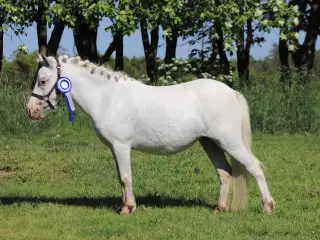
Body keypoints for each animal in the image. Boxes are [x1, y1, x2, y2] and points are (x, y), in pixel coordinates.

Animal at [26, 54, 276, 216]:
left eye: (43, 81)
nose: (30, 110)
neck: (108, 97)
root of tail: (231, 92)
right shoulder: (114, 148)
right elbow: (121, 178)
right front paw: (124, 205)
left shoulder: (121, 146)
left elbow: (126, 177)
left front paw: (128, 209)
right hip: (210, 143)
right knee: (224, 172)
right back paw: (220, 208)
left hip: (230, 142)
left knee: (255, 167)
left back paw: (268, 207)